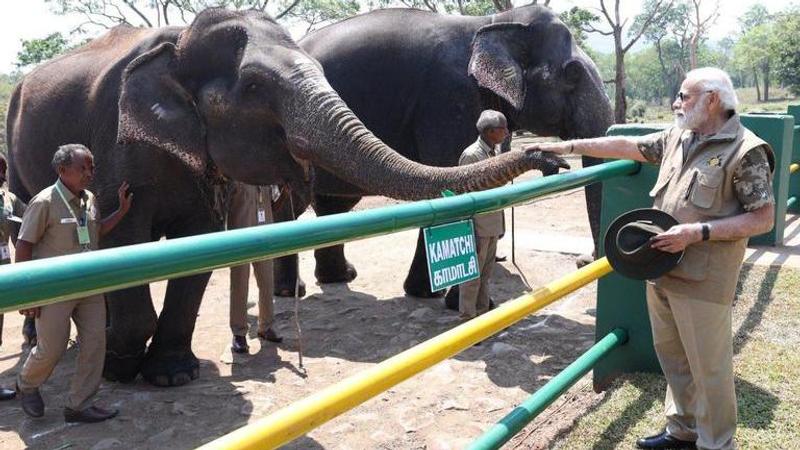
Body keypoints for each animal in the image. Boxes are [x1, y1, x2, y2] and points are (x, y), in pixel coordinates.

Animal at [7, 7, 568, 386]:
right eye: (255, 88)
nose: (550, 157)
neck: (180, 41)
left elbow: (198, 248)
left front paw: (170, 374)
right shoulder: (116, 146)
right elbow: (123, 237)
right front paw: (122, 368)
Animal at [268, 5, 612, 298]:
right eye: (573, 73)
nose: (583, 261)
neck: (493, 21)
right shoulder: (448, 98)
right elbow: (447, 177)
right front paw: (430, 294)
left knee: (333, 201)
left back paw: (338, 278)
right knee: (293, 204)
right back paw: (289, 291)